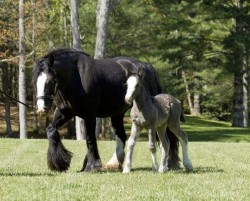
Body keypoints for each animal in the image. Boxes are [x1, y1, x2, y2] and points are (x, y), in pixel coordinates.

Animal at [32, 48, 180, 171]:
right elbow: (51, 130)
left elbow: (90, 138)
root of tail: (147, 67)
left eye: (50, 81)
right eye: (36, 82)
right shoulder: (64, 112)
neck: (76, 77)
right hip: (118, 113)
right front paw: (59, 163)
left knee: (164, 137)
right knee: (121, 135)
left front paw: (92, 165)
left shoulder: (89, 115)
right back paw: (114, 163)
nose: (41, 108)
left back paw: (168, 163)